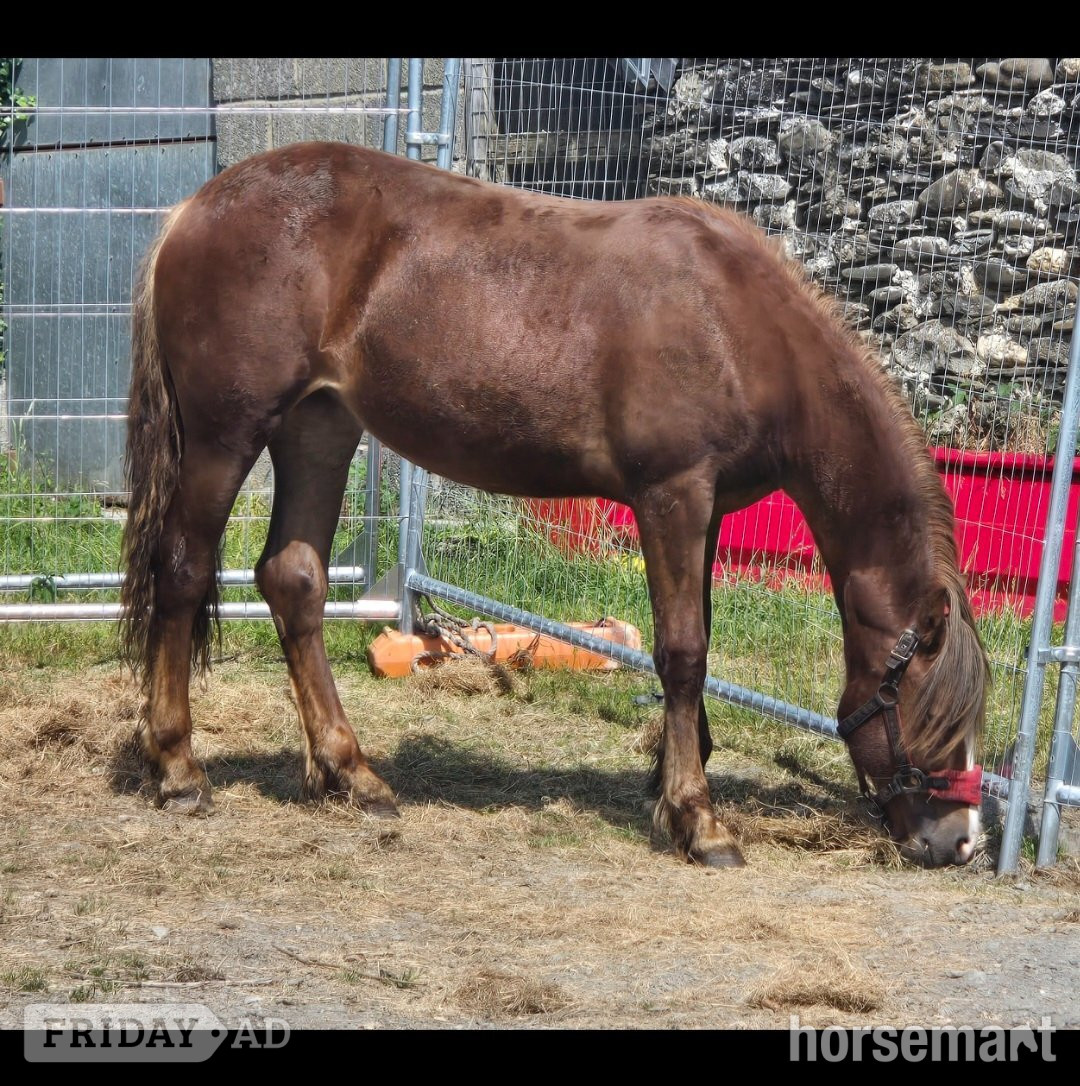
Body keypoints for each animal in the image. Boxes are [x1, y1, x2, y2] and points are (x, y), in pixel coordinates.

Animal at [120, 141, 989, 869]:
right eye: (929, 710)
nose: (961, 841)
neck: (738, 326)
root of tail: (193, 210)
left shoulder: (706, 510)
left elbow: (695, 645)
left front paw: (671, 785)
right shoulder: (672, 494)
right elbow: (683, 653)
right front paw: (700, 821)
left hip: (319, 428)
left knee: (294, 579)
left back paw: (352, 774)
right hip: (226, 436)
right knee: (184, 570)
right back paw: (180, 769)